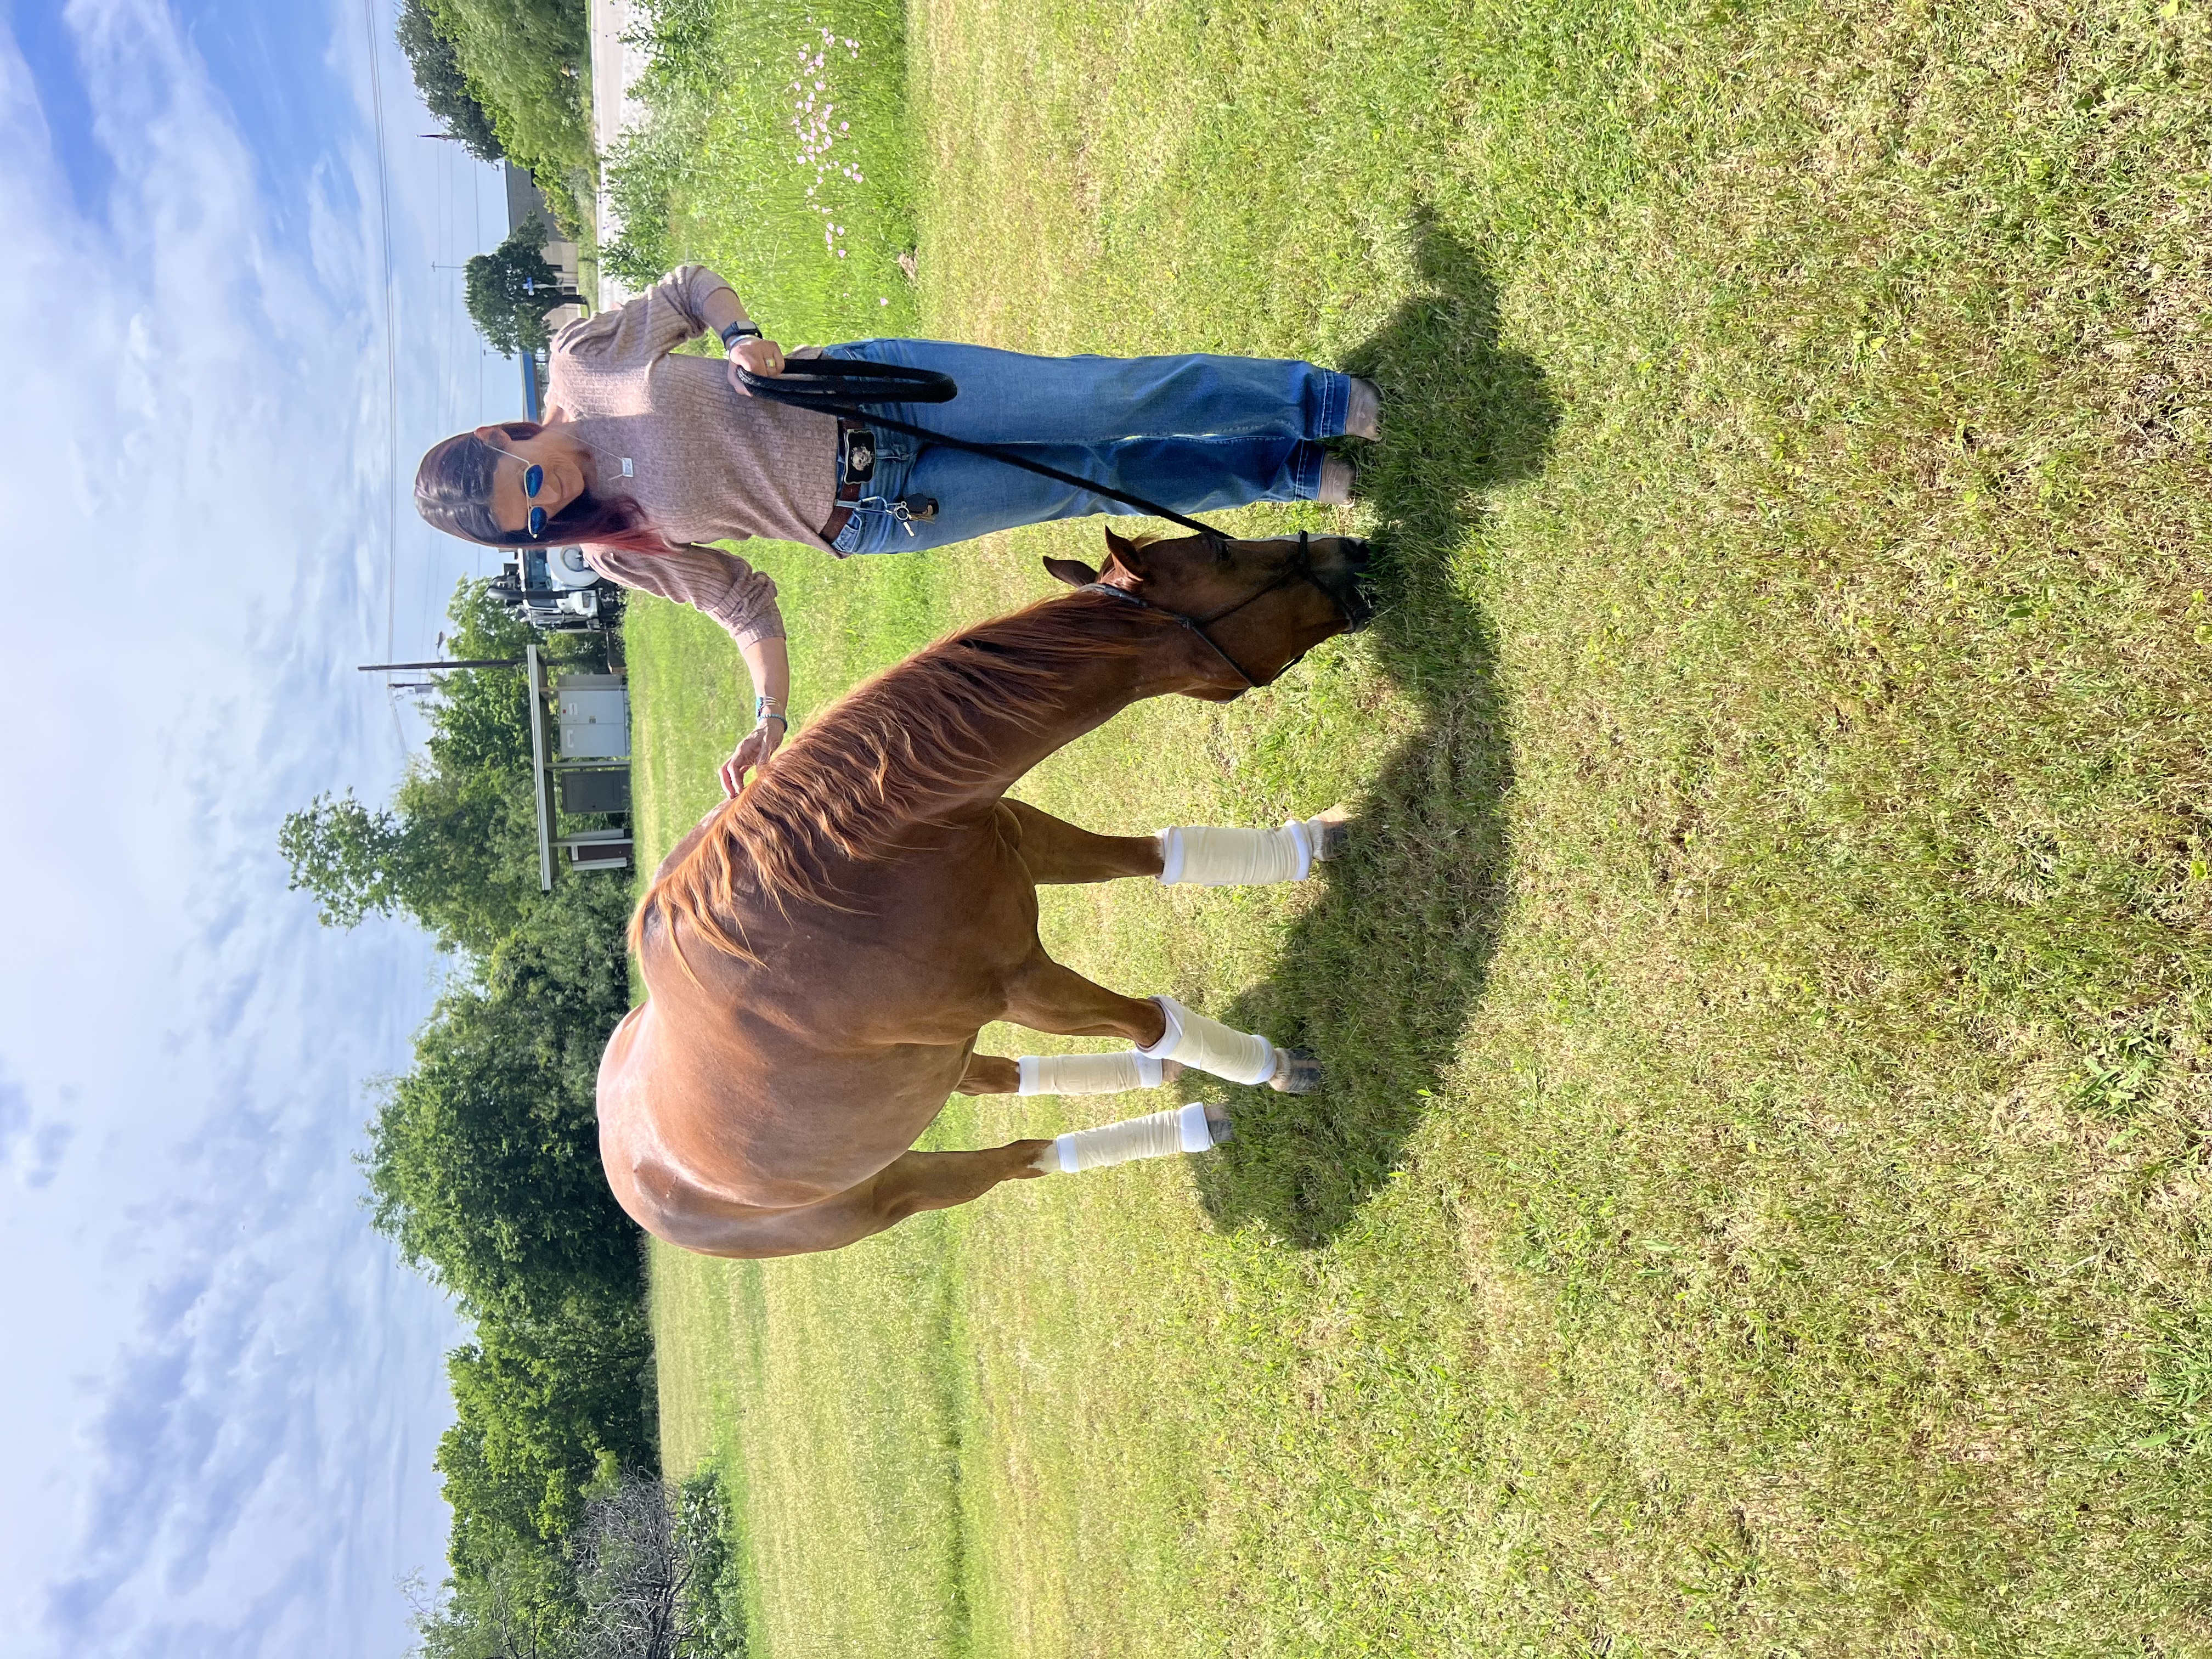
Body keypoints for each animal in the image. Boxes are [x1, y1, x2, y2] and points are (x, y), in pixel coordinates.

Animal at [596, 525, 1370, 1257]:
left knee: (1005, 1079)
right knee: (1022, 1157)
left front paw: (1314, 844)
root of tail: (632, 1174)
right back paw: (1184, 1121)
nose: (1351, 549)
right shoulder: (1023, 988)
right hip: (889, 1193)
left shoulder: (1022, 839)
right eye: (1221, 553)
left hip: (942, 1070)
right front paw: (1275, 1069)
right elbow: (1153, 1020)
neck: (848, 868)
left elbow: (1163, 857)